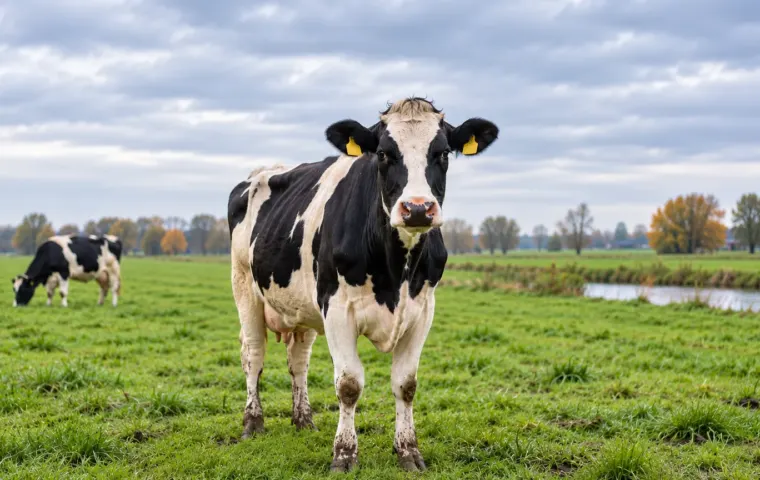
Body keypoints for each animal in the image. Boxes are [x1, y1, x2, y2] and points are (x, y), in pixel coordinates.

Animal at [227, 97, 498, 472]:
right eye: (383, 153)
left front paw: (409, 451)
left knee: (299, 360)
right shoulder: (337, 308)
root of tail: (263, 171)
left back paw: (303, 419)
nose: (417, 209)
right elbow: (349, 384)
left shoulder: (423, 311)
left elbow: (406, 384)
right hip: (244, 288)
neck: (396, 269)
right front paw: (344, 454)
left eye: (443, 153)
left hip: (302, 305)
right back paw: (253, 423)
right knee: (253, 354)